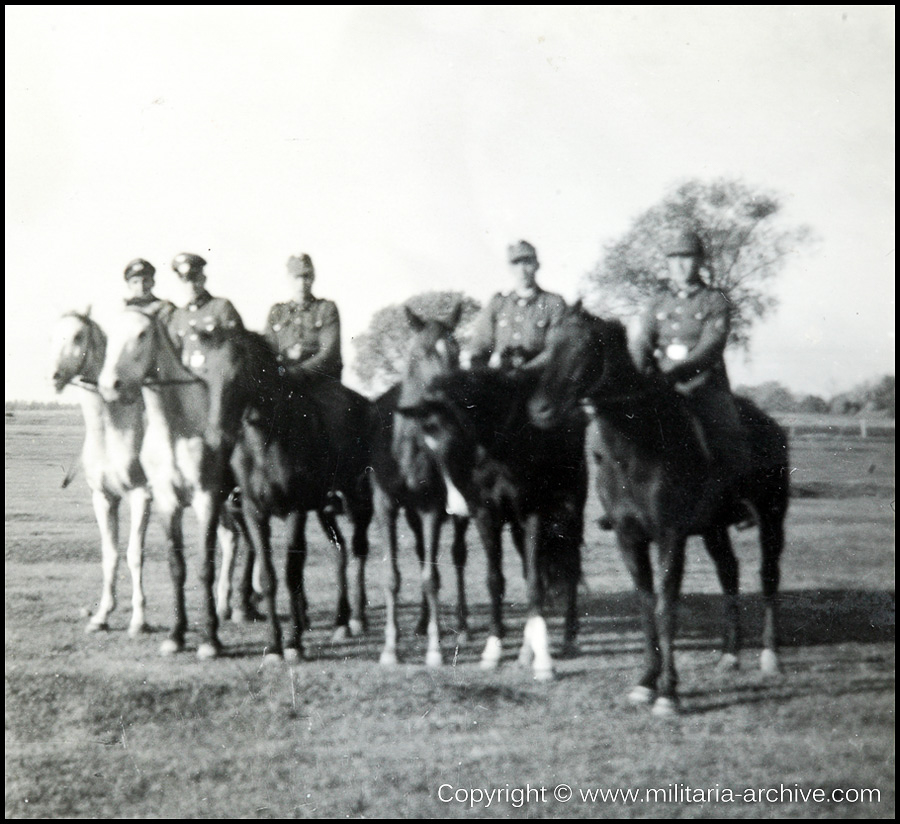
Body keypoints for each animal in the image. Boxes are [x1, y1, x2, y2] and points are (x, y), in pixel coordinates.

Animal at [232, 332, 376, 660]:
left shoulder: (295, 511)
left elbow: (292, 572)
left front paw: (294, 641)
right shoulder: (253, 512)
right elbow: (270, 574)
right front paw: (276, 643)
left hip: (358, 501)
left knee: (359, 550)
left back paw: (357, 617)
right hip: (324, 511)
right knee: (340, 551)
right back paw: (341, 620)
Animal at [370, 306, 472, 668]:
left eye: (456, 351)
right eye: (422, 352)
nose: (454, 399)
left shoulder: (433, 508)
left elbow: (432, 578)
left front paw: (435, 648)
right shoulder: (386, 505)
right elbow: (392, 577)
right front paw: (390, 648)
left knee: (457, 557)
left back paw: (462, 627)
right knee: (419, 552)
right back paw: (420, 622)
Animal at [402, 366, 588, 684]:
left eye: (453, 441)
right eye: (423, 443)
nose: (454, 506)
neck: (502, 446)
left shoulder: (533, 514)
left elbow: (536, 584)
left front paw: (544, 662)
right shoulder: (486, 516)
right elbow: (495, 580)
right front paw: (494, 649)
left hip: (572, 509)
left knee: (571, 567)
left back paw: (568, 637)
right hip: (516, 528)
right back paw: (526, 650)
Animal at [528, 302, 788, 716]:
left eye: (585, 347)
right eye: (548, 344)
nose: (540, 410)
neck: (639, 445)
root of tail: (773, 427)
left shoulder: (670, 537)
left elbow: (666, 608)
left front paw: (668, 692)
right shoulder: (628, 538)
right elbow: (646, 605)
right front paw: (646, 682)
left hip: (772, 519)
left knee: (768, 576)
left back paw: (769, 655)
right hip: (714, 529)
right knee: (729, 574)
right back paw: (730, 654)